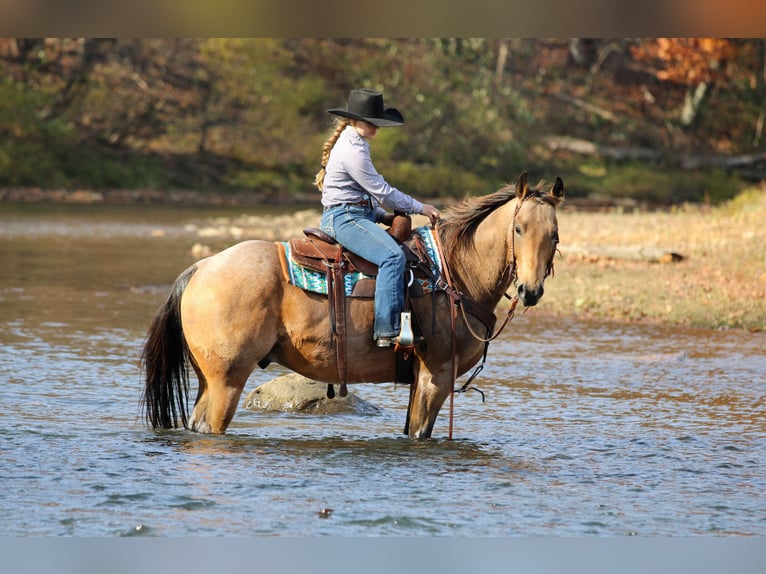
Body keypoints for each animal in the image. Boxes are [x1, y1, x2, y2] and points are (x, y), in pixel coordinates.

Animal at [141, 172, 564, 438]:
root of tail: (201, 267)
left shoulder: (421, 377)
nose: (530, 290)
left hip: (207, 378)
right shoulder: (437, 373)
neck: (454, 273)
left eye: (555, 234)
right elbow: (420, 434)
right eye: (519, 229)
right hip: (227, 379)